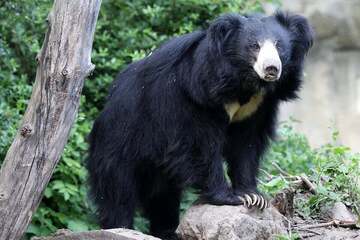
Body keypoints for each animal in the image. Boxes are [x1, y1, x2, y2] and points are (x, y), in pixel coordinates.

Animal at [86, 11, 312, 240]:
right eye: (254, 46)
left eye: (279, 46)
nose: (271, 68)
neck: (243, 83)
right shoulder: (194, 96)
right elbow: (199, 145)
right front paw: (229, 197)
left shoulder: (257, 107)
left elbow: (246, 145)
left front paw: (252, 196)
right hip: (120, 142)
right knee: (118, 192)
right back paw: (121, 227)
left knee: (163, 197)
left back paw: (167, 231)